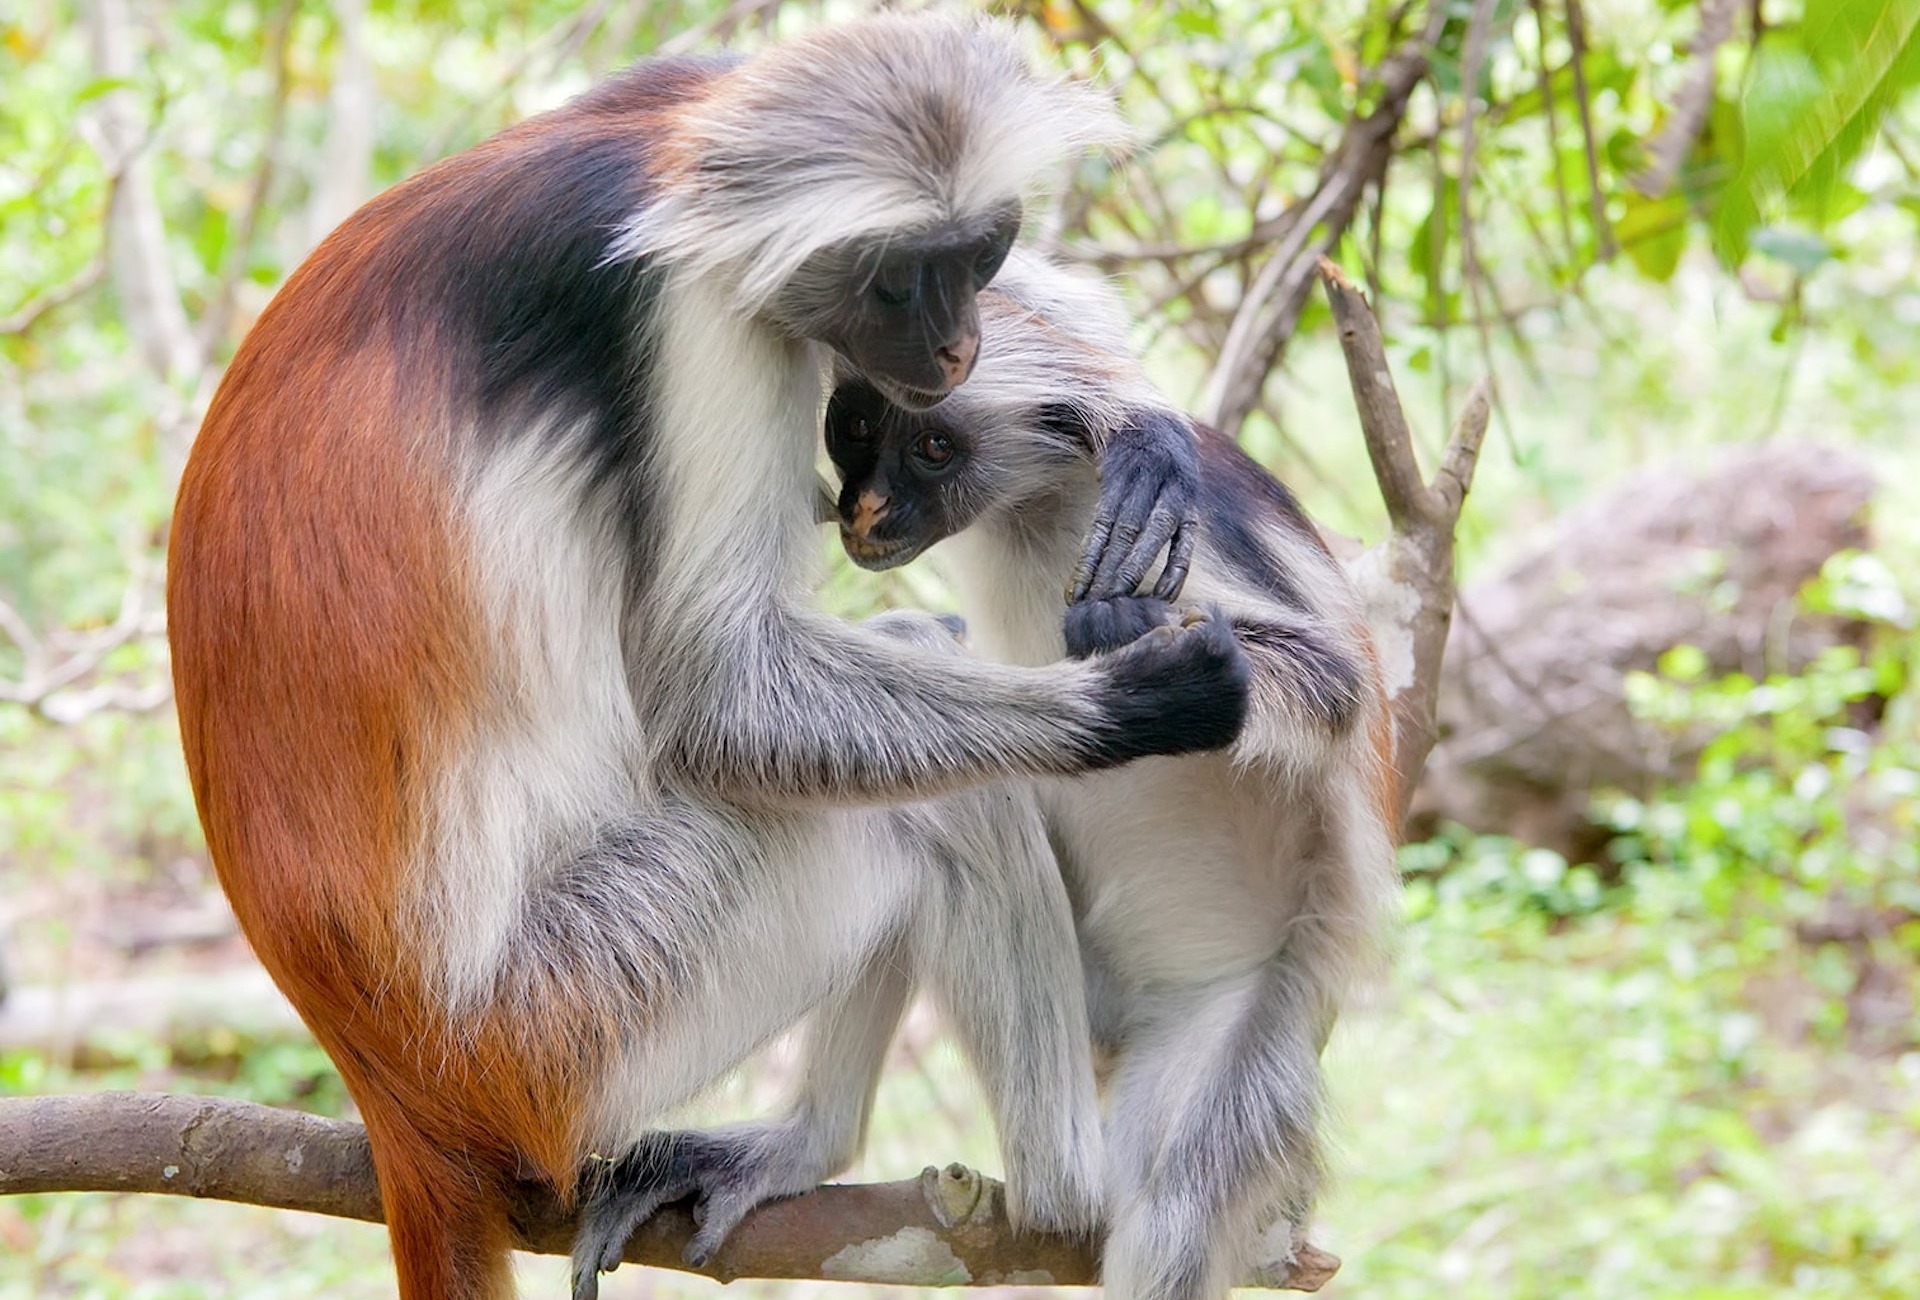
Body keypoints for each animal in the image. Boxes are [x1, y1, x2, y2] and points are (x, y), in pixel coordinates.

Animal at [165, 17, 1251, 1298]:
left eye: (981, 254)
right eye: (899, 278)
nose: (958, 344)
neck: (659, 177)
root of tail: (399, 1100)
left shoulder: (687, 113)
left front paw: (1124, 405)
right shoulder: (693, 317)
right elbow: (716, 697)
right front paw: (1141, 700)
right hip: (575, 1014)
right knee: (935, 807)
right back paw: (1059, 1199)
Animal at [821, 251, 1397, 1298]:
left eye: (933, 447)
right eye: (855, 427)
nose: (864, 507)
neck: (1041, 500)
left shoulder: (1183, 536)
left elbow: (1334, 684)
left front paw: (1134, 637)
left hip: (1235, 1019)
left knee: (1172, 1210)